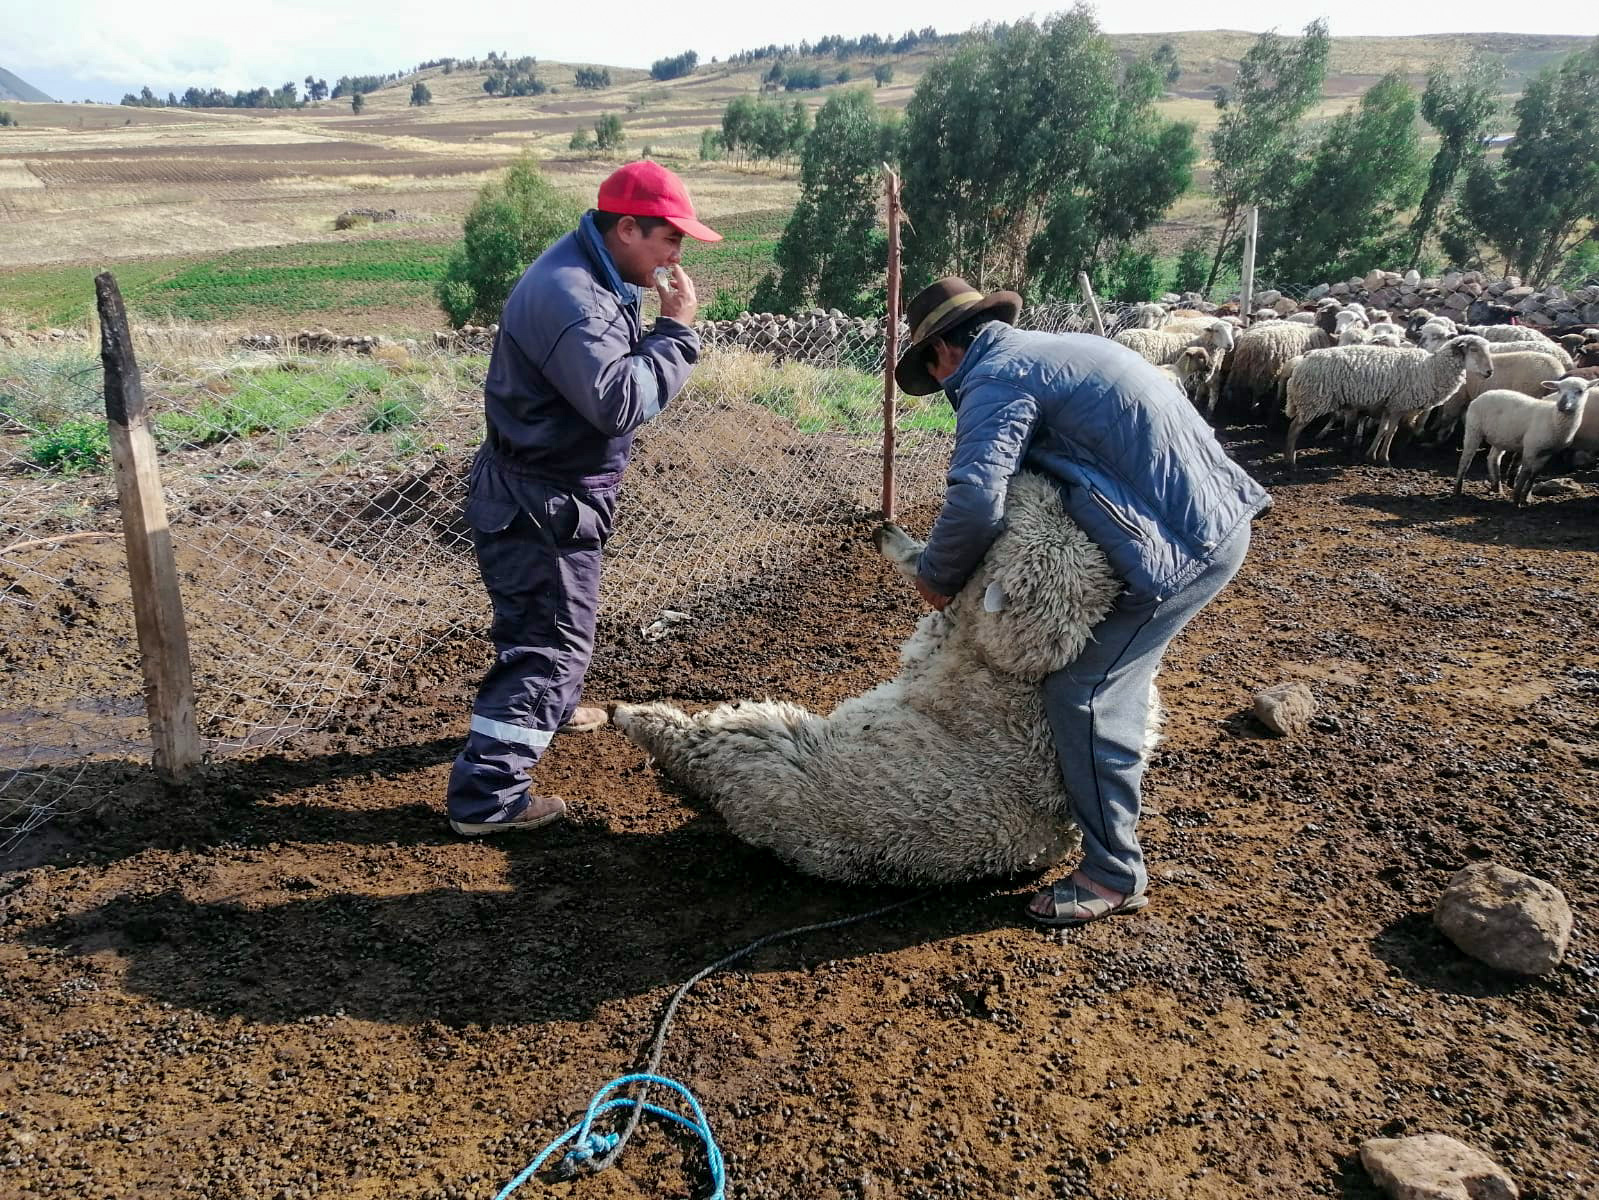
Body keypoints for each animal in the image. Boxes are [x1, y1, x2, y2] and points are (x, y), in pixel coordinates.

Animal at [607, 473, 1151, 889]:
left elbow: (932, 574)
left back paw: (629, 715)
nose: (1034, 477)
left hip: (763, 751)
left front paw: (893, 541)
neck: (1019, 678)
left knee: (691, 744)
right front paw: (890, 533)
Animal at [1279, 339, 1490, 473]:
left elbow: (1382, 430)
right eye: (1474, 350)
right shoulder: (1399, 405)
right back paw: (1291, 462)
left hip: (1310, 400)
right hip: (1313, 400)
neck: (1432, 369)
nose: (1490, 372)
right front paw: (1384, 459)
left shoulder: (1389, 406)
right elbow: (1391, 432)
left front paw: (1371, 455)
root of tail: (1305, 357)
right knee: (1293, 428)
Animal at [1458, 377, 1592, 505]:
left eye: (1580, 391)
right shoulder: (1531, 446)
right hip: (1473, 429)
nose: (1562, 405)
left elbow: (1534, 474)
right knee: (1466, 460)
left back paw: (1498, 488)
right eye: (1559, 390)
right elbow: (1526, 471)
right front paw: (1517, 500)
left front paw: (1526, 498)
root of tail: (1482, 395)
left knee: (1493, 458)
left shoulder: (1547, 452)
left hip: (1501, 437)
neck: (1552, 418)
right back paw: (1457, 490)